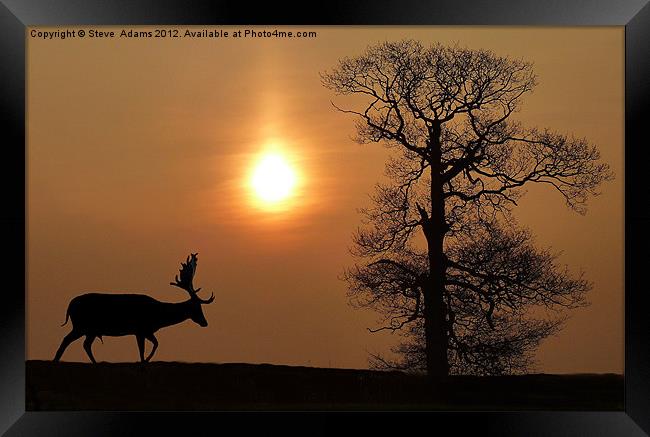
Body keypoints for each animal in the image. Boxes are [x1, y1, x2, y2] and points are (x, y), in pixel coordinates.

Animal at [53, 252, 214, 362]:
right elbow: (146, 348)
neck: (159, 316)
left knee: (86, 344)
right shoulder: (141, 329)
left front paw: (145, 360)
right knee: (67, 340)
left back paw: (94, 362)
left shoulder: (145, 331)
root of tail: (69, 305)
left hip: (90, 330)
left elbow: (154, 344)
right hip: (81, 326)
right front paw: (144, 360)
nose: (205, 322)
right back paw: (56, 360)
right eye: (197, 307)